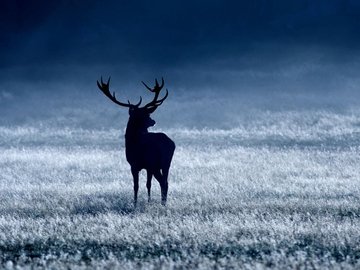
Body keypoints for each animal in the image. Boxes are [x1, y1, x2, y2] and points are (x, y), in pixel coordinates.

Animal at [95, 77, 174, 206]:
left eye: (147, 113)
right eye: (142, 114)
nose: (153, 121)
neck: (133, 139)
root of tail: (170, 144)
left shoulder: (134, 164)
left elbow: (136, 186)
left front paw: (135, 203)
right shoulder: (146, 167)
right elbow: (148, 184)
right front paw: (148, 201)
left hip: (154, 163)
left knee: (162, 182)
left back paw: (162, 203)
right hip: (166, 163)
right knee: (166, 182)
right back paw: (164, 203)